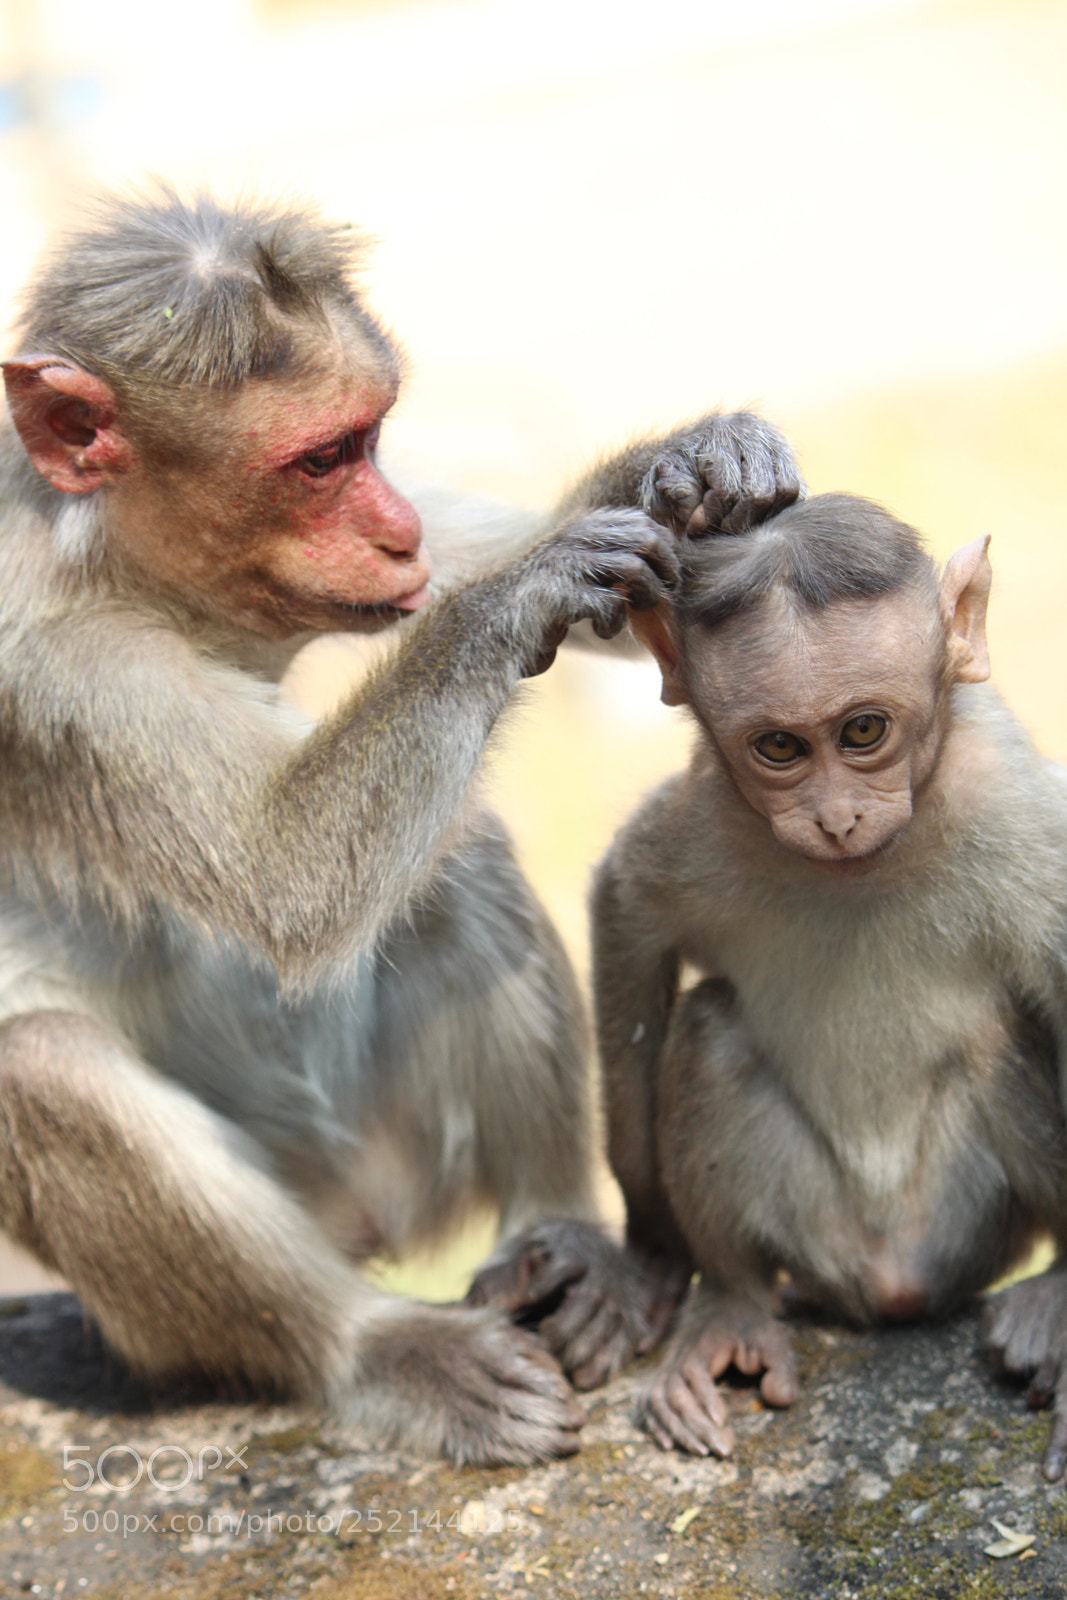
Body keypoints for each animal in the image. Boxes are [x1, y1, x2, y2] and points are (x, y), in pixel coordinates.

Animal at [0, 188, 803, 1464]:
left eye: (370, 439)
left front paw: (680, 468)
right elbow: (287, 877)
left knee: (454, 858)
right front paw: (523, 589)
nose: (395, 530)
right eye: (318, 460)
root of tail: (355, 1221)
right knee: (47, 1069)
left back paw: (563, 1240)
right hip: (271, 1226)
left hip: (399, 1159)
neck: (120, 574)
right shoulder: (54, 672)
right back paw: (374, 1346)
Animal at [590, 490, 1067, 1479]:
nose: (836, 817)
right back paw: (731, 1303)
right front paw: (649, 1245)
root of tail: (887, 1285)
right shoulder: (706, 814)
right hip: (815, 1236)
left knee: (1001, 1035)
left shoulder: (1022, 810)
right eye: (779, 746)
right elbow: (626, 915)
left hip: (963, 1223)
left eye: (862, 730)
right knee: (708, 1025)